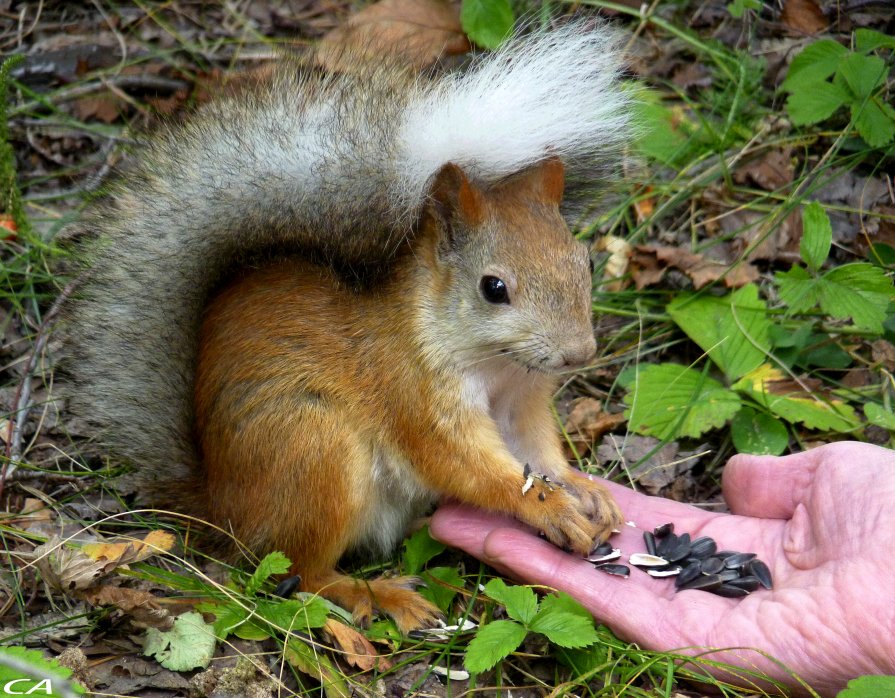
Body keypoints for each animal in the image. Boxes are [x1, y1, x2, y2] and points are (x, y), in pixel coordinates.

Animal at [66, 23, 632, 632]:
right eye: (493, 288)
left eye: (585, 262)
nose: (579, 353)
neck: (497, 365)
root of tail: (222, 513)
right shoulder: (411, 389)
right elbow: (462, 465)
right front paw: (543, 505)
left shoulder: (521, 402)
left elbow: (538, 452)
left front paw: (584, 489)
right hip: (315, 450)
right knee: (301, 574)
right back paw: (379, 594)